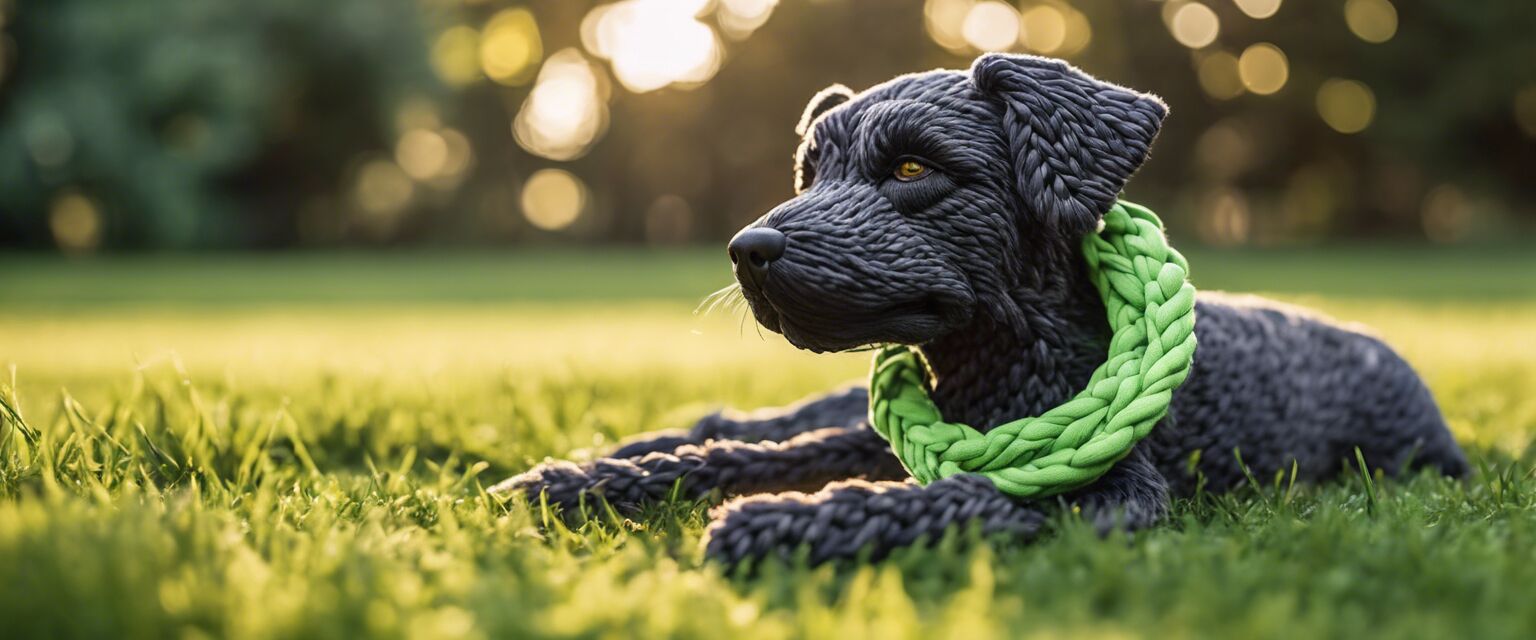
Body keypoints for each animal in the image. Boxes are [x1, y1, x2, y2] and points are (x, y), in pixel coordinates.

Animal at [497, 53, 1468, 564]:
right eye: (811, 173)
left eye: (913, 168)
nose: (748, 251)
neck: (1012, 360)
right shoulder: (870, 432)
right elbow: (761, 454)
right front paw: (592, 481)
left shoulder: (1107, 499)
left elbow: (971, 497)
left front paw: (786, 522)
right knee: (762, 420)